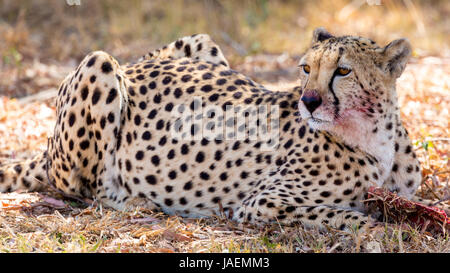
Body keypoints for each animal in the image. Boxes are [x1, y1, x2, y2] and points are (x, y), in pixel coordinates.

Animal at [0, 29, 442, 230]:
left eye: (343, 71)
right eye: (306, 68)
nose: (309, 101)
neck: (373, 134)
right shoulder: (261, 203)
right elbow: (348, 215)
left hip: (198, 42)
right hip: (100, 64)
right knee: (85, 189)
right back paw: (138, 202)